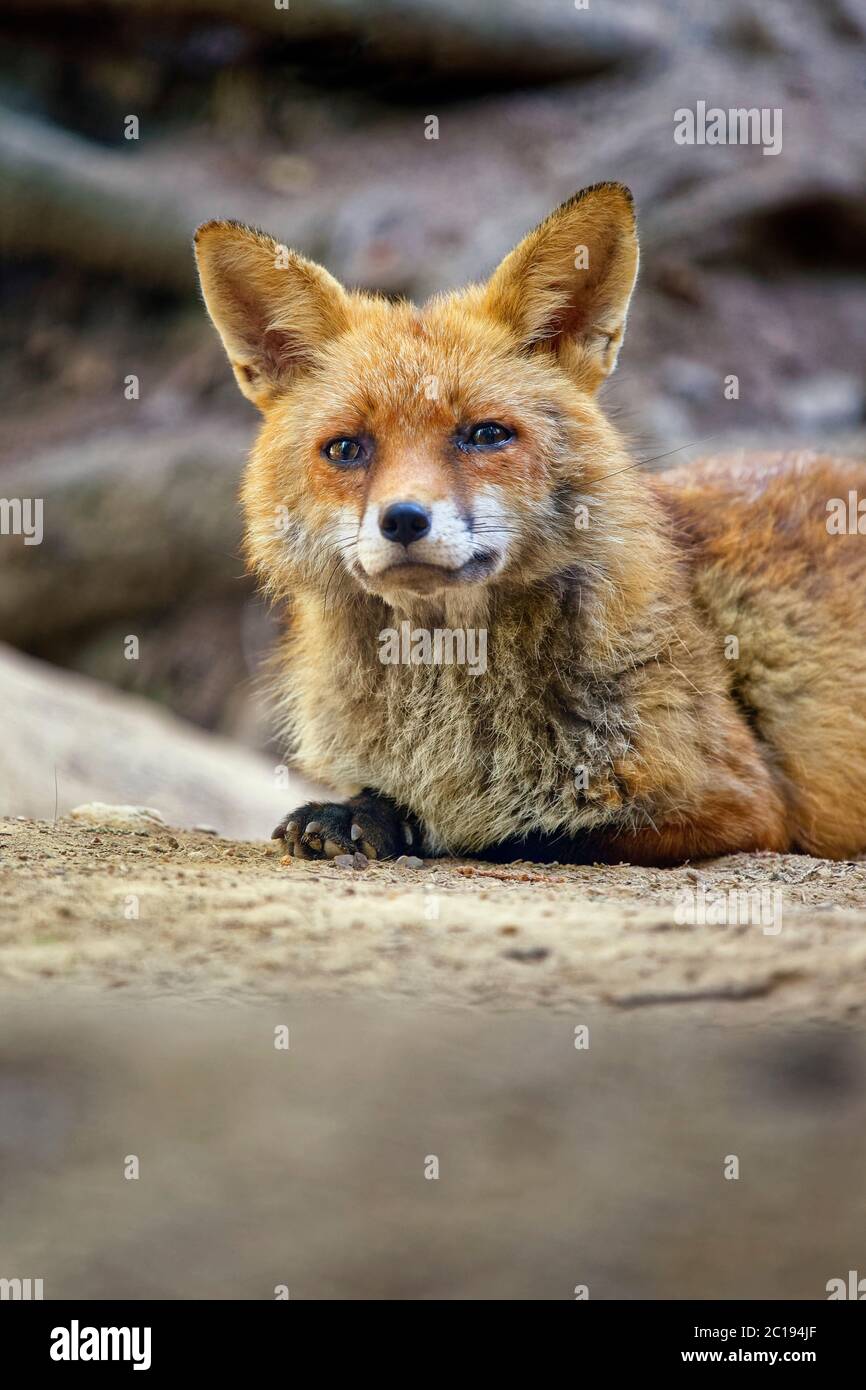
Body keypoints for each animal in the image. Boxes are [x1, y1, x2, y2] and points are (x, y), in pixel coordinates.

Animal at [194, 182, 866, 866]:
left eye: (486, 435)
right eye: (346, 449)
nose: (403, 520)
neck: (449, 697)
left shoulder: (739, 805)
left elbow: (522, 833)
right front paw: (362, 812)